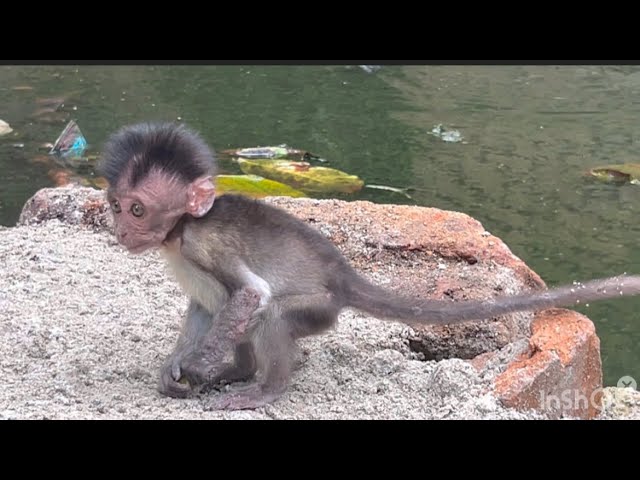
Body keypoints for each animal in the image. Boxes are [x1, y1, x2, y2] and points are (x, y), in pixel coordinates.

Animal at [97, 122, 640, 410]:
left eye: (139, 209)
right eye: (116, 205)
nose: (121, 230)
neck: (179, 232)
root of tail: (342, 276)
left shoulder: (202, 242)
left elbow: (250, 295)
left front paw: (196, 365)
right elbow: (204, 308)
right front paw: (176, 365)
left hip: (319, 306)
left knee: (273, 314)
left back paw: (265, 389)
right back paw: (240, 370)